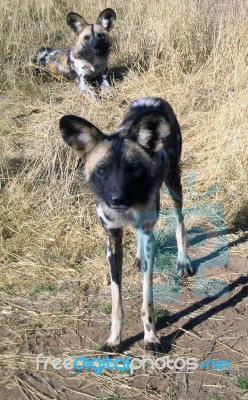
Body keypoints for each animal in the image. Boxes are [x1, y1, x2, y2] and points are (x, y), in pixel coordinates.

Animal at [59, 97, 193, 354]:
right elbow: (115, 300)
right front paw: (114, 339)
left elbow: (147, 300)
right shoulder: (112, 237)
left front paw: (151, 337)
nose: (117, 199)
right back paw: (140, 257)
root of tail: (152, 99)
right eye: (102, 169)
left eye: (133, 169)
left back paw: (183, 261)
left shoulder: (147, 231)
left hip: (174, 184)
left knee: (179, 222)